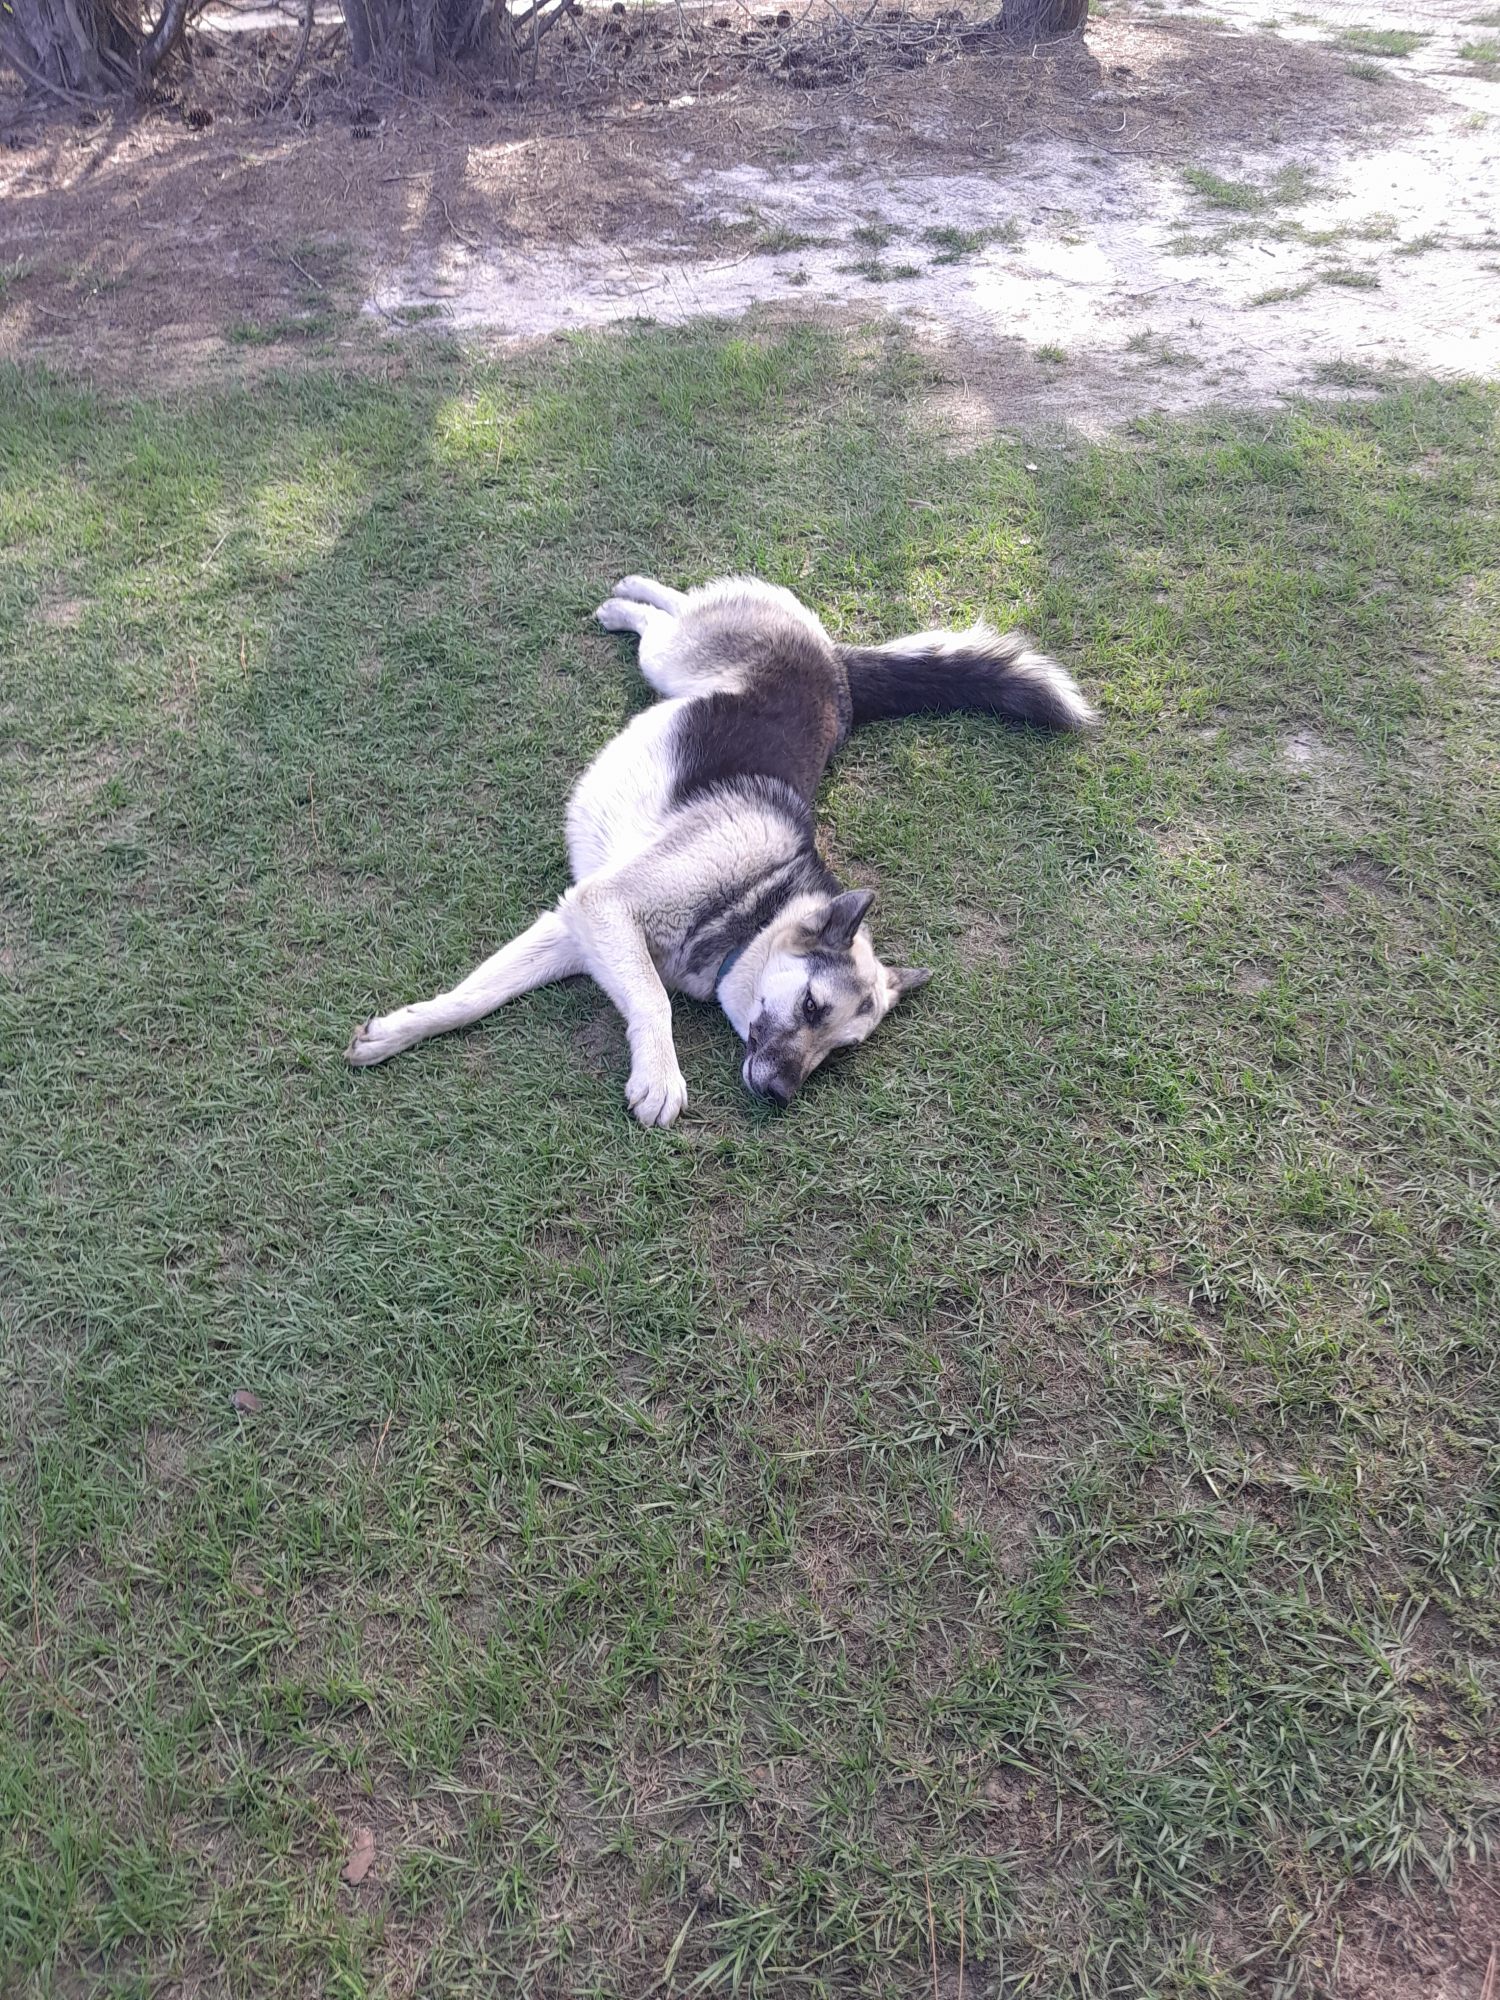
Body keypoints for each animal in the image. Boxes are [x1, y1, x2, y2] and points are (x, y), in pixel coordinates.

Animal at [345, 574, 1096, 1125]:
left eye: (837, 1053)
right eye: (813, 1009)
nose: (782, 1096)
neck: (756, 902)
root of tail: (835, 663)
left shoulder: (573, 930)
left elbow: (474, 997)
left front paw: (399, 1030)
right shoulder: (602, 908)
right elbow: (653, 1002)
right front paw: (660, 1075)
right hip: (670, 659)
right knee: (672, 612)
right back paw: (627, 598)